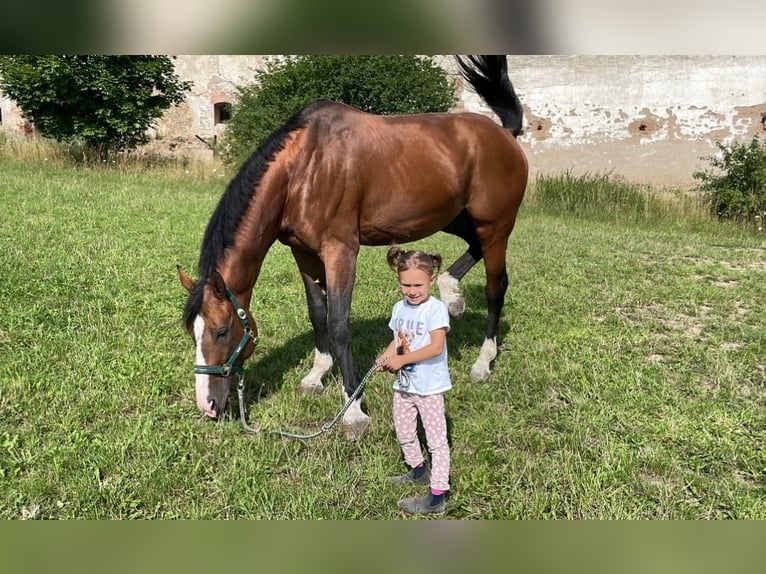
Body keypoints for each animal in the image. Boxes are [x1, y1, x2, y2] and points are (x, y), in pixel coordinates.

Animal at [178, 55, 528, 440]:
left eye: (221, 331)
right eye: (191, 332)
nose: (207, 405)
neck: (304, 168)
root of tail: (504, 134)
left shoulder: (341, 250)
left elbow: (339, 323)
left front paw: (353, 410)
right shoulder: (303, 251)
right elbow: (317, 313)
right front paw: (317, 375)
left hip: (495, 225)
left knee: (496, 287)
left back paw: (483, 361)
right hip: (456, 217)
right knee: (472, 248)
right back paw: (452, 296)